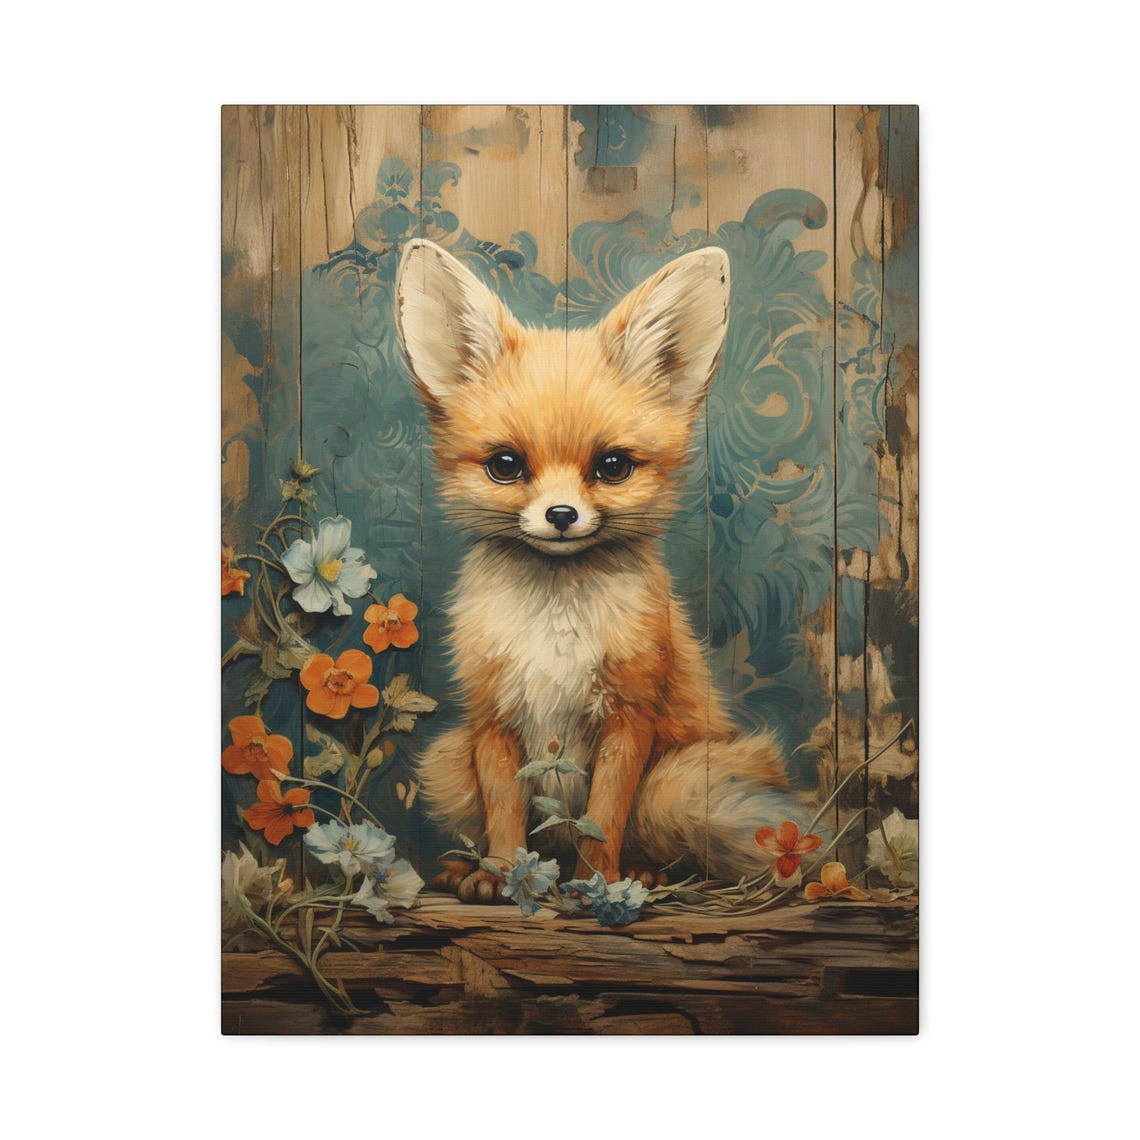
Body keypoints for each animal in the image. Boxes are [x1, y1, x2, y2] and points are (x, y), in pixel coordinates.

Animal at [395, 238, 806, 903]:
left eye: (612, 466)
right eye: (505, 465)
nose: (561, 515)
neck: (556, 627)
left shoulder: (629, 715)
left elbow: (604, 817)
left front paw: (598, 887)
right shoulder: (492, 719)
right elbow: (505, 813)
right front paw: (504, 876)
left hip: (678, 780)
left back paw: (637, 874)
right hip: (446, 762)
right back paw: (473, 870)